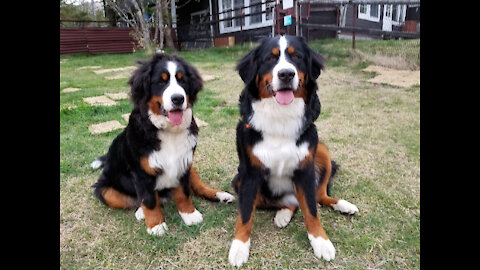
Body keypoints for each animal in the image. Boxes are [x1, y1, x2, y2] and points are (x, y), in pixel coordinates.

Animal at [90, 52, 234, 236]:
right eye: (161, 81)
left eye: (182, 80)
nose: (178, 99)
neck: (169, 131)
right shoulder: (142, 172)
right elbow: (149, 200)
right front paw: (156, 225)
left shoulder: (184, 163)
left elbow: (184, 193)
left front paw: (189, 214)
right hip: (105, 190)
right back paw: (141, 212)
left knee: (198, 187)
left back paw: (221, 195)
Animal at [227, 34, 358, 266]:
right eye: (270, 58)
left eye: (296, 57)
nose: (286, 74)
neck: (281, 116)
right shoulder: (250, 175)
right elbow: (245, 214)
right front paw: (239, 247)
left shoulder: (305, 170)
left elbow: (312, 211)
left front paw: (321, 242)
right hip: (239, 181)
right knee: (290, 202)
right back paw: (283, 215)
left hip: (321, 150)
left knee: (319, 196)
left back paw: (343, 205)